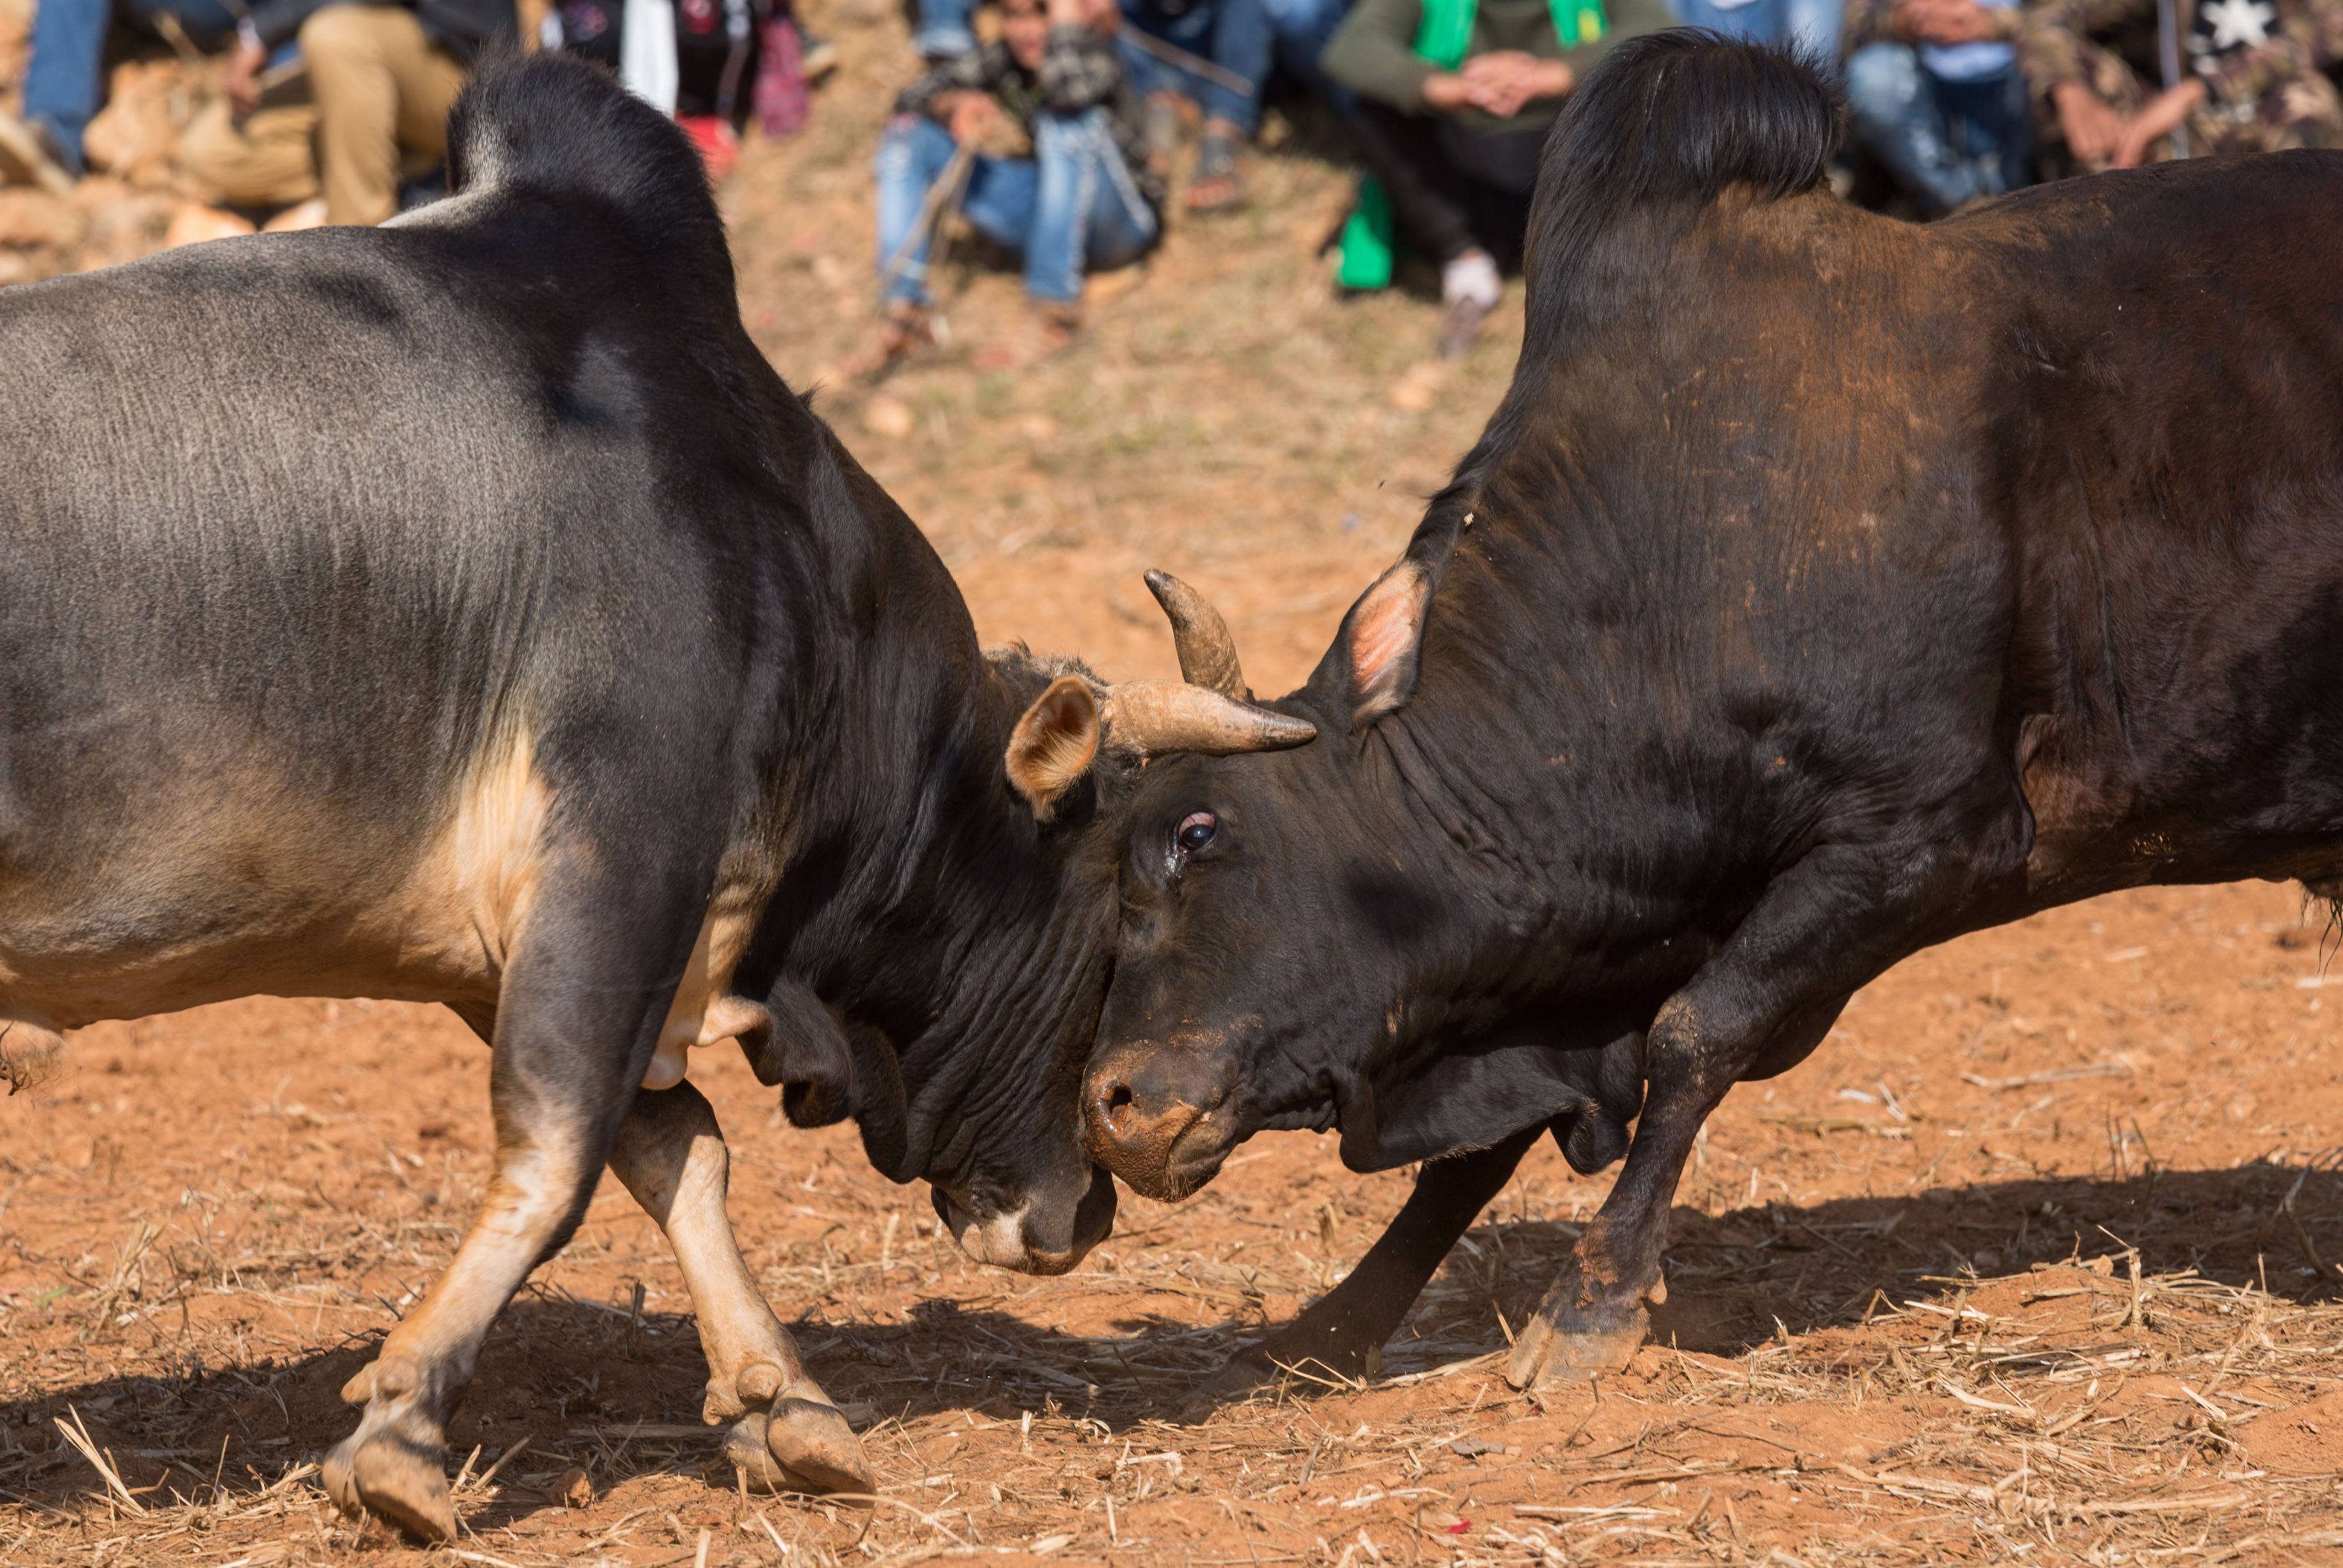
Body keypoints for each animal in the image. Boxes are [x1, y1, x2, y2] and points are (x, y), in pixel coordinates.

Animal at [0, 54, 1313, 1539]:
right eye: (1107, 925)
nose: (1081, 1213)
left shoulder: (564, 929)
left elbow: (675, 1149)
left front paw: (787, 1408)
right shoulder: (625, 854)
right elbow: (560, 1147)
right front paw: (399, 1428)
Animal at [1075, 31, 2343, 1401]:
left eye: (1197, 836)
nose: (1111, 1102)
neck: (1685, 549)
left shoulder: (1916, 846)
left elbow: (1692, 1039)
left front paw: (1591, 1301)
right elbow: (1484, 1147)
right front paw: (1335, 1321)